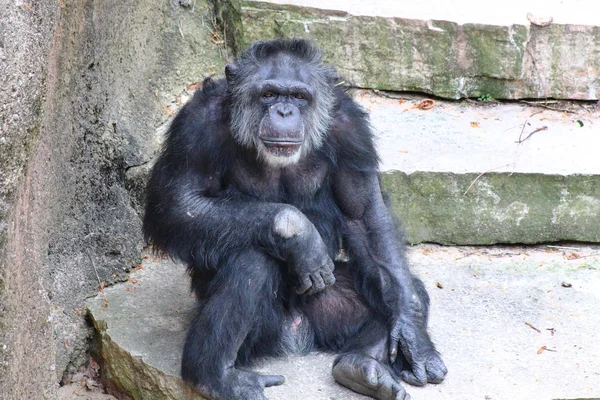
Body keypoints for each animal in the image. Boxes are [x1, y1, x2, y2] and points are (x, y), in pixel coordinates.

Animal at [144, 38, 446, 400]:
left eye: (299, 96)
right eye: (269, 94)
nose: (284, 111)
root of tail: (296, 336)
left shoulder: (351, 130)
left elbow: (365, 215)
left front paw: (411, 334)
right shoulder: (195, 127)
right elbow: (178, 204)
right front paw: (297, 232)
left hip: (329, 309)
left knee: (406, 289)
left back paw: (363, 367)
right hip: (260, 332)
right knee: (252, 261)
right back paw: (215, 376)